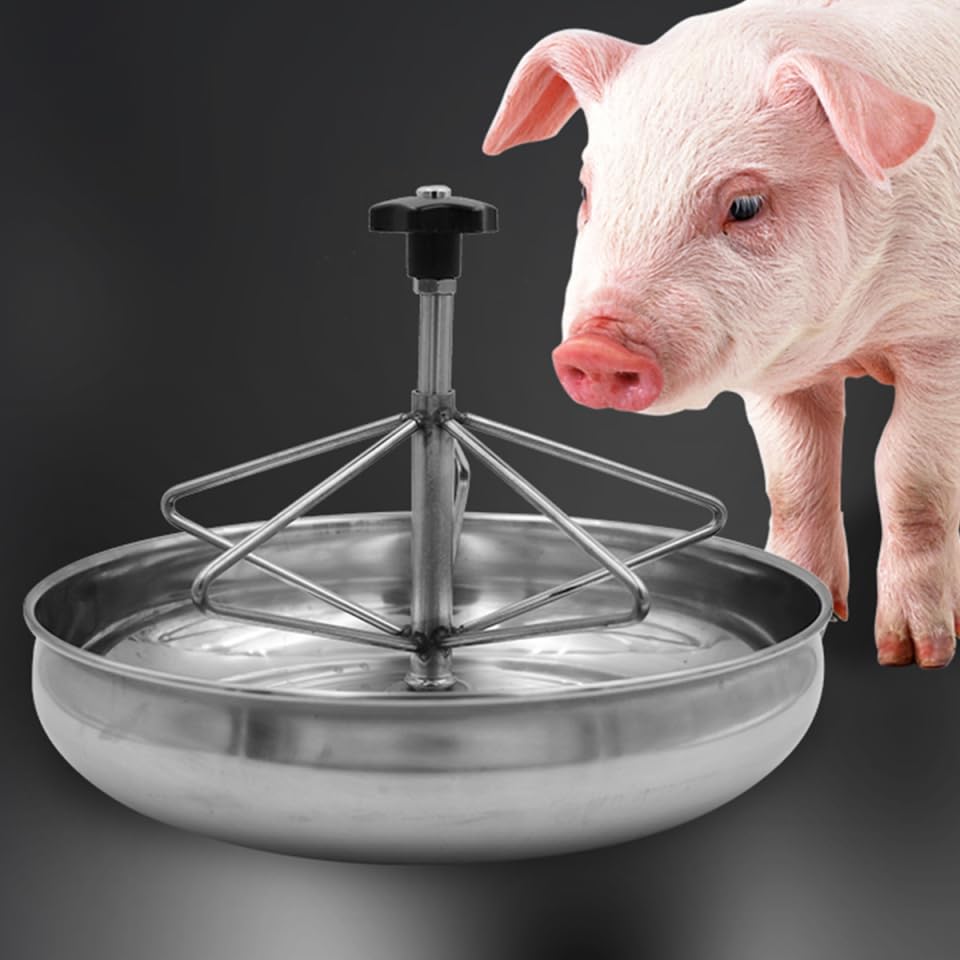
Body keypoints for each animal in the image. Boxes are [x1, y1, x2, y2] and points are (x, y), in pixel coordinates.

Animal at [483, 0, 960, 667]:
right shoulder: (775, 364)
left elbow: (911, 478)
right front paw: (815, 611)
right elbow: (793, 478)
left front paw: (914, 656)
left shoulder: (939, 338)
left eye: (746, 205)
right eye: (585, 190)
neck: (851, 339)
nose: (596, 346)